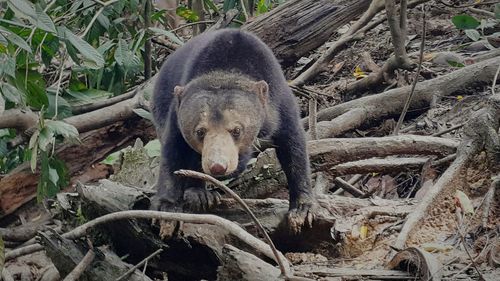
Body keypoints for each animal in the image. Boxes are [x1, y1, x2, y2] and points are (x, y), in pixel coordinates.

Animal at [148, 28, 314, 229]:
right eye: (199, 132)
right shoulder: (175, 112)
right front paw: (166, 207)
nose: (218, 167)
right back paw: (199, 194)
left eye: (237, 130)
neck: (225, 71)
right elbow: (173, 150)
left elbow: (293, 146)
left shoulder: (280, 102)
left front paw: (301, 211)